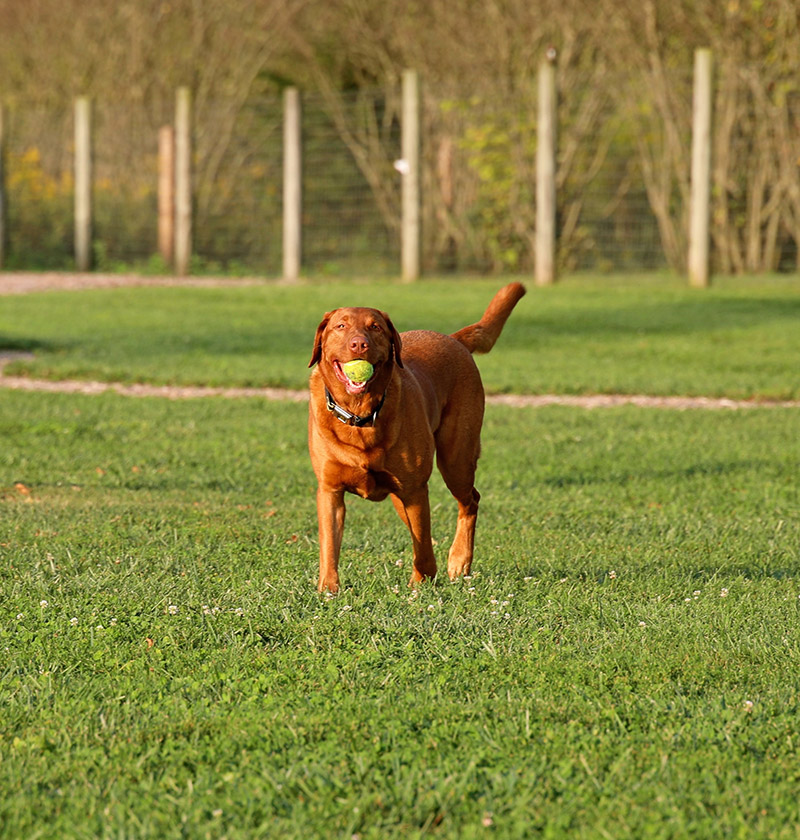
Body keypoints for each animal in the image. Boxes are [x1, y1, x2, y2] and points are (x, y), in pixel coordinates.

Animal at [306, 282, 524, 592]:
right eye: (340, 326)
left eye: (375, 327)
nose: (359, 344)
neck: (362, 416)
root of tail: (453, 339)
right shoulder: (330, 491)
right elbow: (329, 546)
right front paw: (328, 588)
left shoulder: (415, 490)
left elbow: (423, 544)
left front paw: (422, 581)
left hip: (455, 460)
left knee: (470, 500)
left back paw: (459, 560)